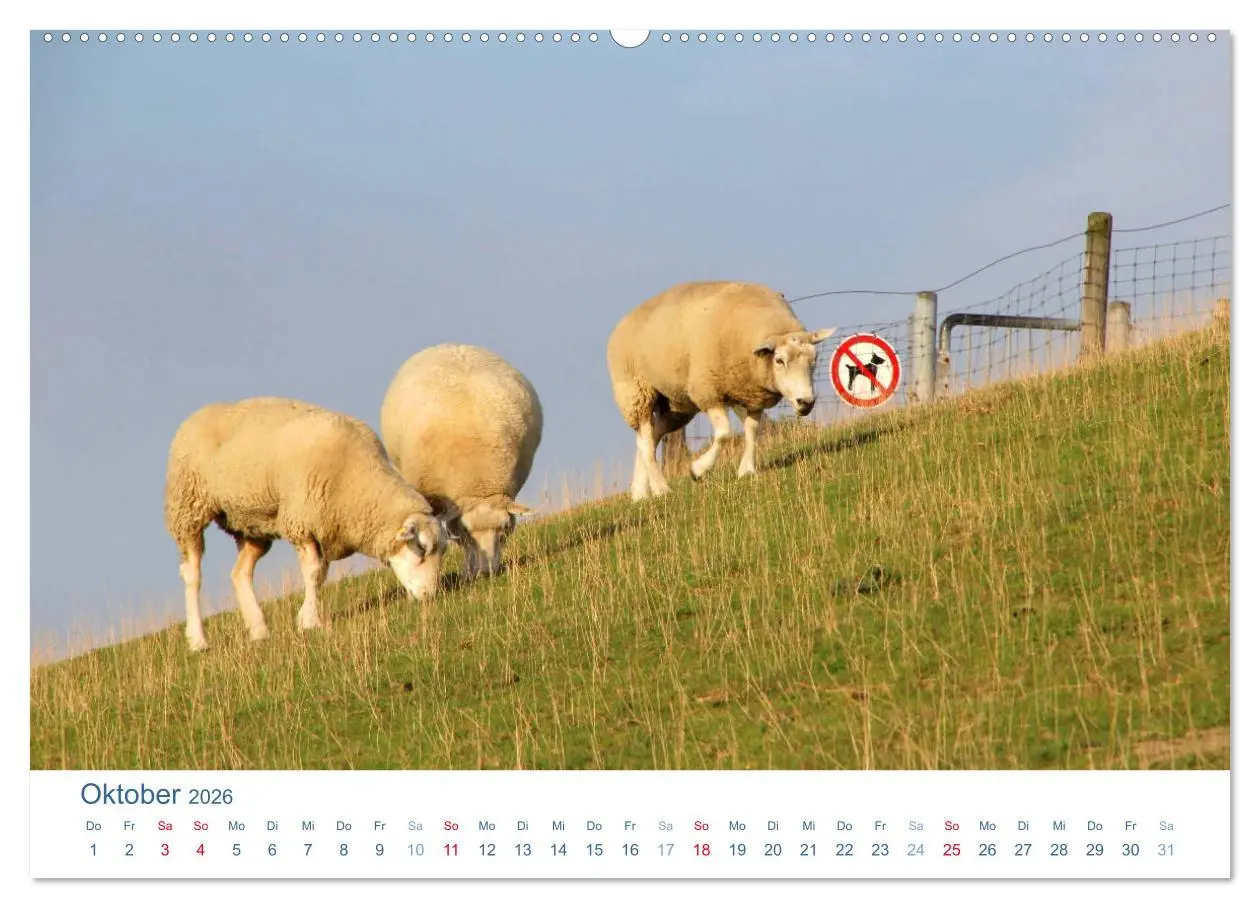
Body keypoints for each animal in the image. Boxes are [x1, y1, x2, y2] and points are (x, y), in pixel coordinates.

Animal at [164, 396, 455, 652]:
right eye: (421, 548)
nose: (430, 596)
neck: (357, 482)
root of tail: (197, 414)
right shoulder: (301, 522)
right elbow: (313, 572)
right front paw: (310, 621)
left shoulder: (324, 528)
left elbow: (320, 575)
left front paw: (305, 617)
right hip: (188, 505)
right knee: (192, 574)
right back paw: (198, 640)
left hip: (252, 522)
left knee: (240, 573)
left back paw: (259, 629)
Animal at [380, 344, 543, 577]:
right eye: (467, 532)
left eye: (504, 529)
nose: (488, 572)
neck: (479, 481)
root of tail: (451, 345)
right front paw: (468, 571)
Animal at [606, 281, 836, 500]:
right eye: (779, 360)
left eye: (815, 359)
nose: (806, 402)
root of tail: (624, 320)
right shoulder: (708, 391)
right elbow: (725, 433)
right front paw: (697, 470)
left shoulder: (750, 395)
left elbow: (752, 429)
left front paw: (746, 470)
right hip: (636, 392)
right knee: (646, 440)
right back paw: (661, 488)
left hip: (677, 405)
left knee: (648, 439)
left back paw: (640, 492)